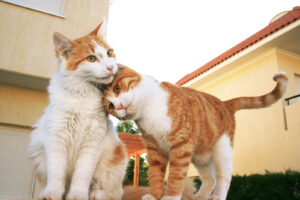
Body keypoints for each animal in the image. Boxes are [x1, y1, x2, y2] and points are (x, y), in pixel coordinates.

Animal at [29, 20, 129, 200]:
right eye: (91, 58)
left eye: (109, 53)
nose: (111, 67)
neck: (84, 94)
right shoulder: (56, 139)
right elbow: (56, 173)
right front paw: (52, 192)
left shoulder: (92, 144)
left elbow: (82, 175)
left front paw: (77, 194)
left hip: (113, 162)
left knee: (107, 189)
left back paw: (97, 194)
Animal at [103, 65, 288, 200]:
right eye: (110, 106)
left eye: (117, 88)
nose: (119, 106)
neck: (148, 111)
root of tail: (225, 103)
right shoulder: (155, 149)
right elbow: (155, 175)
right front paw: (154, 196)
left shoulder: (180, 145)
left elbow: (176, 176)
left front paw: (170, 197)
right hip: (200, 156)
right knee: (209, 178)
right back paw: (200, 197)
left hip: (222, 149)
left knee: (224, 176)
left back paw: (218, 196)